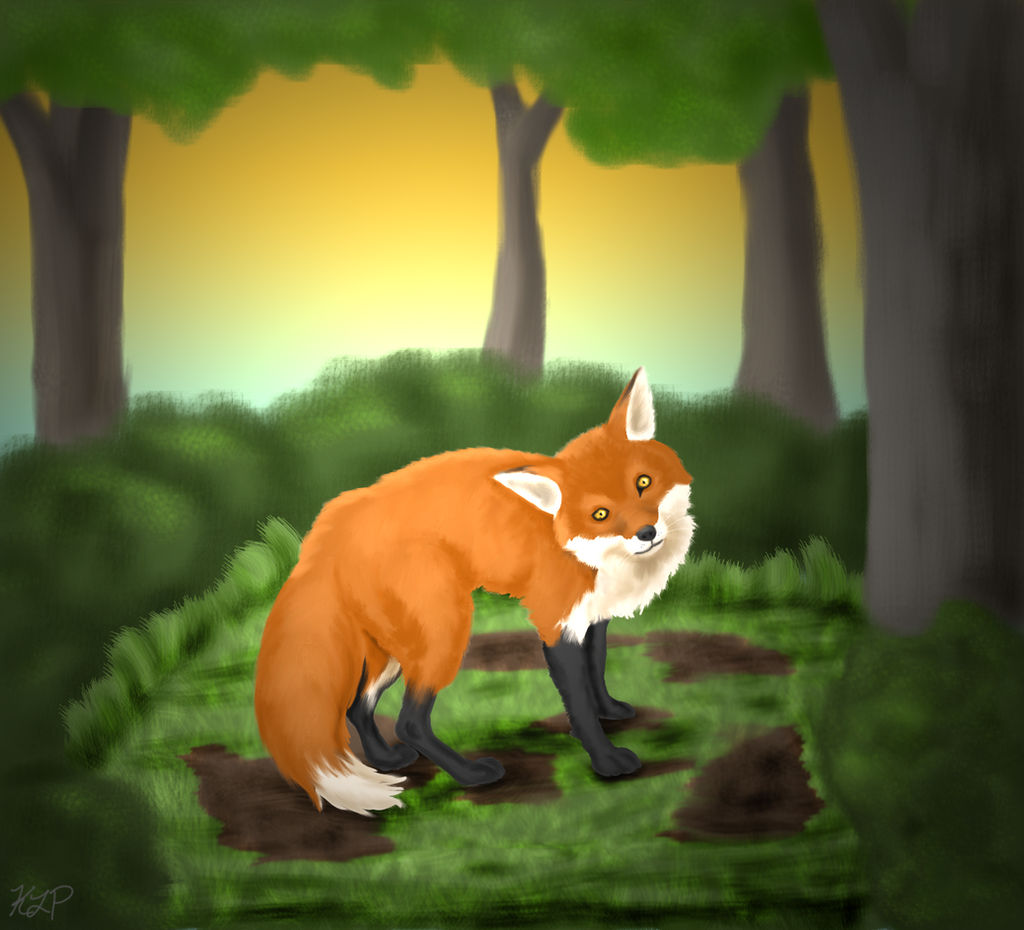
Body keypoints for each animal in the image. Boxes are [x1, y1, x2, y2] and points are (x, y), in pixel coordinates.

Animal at [254, 366, 695, 815]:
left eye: (643, 482)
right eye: (600, 514)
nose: (647, 532)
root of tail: (329, 526)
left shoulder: (592, 616)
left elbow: (597, 670)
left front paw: (611, 711)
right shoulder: (556, 624)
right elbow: (580, 703)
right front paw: (606, 761)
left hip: (392, 651)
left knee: (357, 707)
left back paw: (385, 759)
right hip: (443, 634)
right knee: (409, 722)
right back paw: (471, 775)